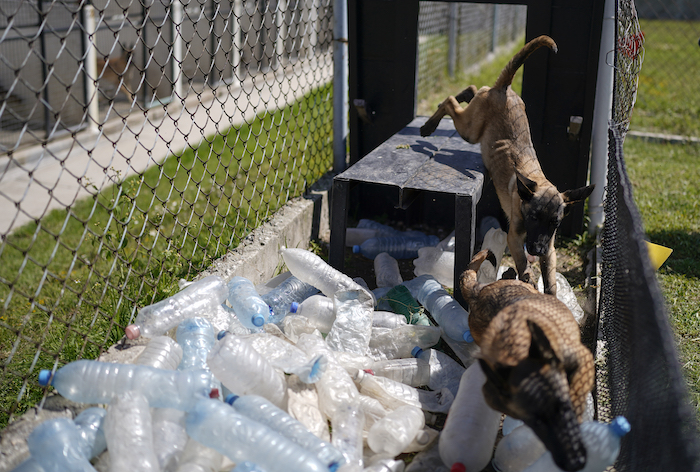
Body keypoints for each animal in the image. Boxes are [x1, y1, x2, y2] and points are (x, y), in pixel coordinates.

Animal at [418, 36, 592, 296]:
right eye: (534, 217)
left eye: (555, 223)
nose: (537, 250)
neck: (536, 182)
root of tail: (505, 89)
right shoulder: (515, 238)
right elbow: (522, 263)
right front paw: (528, 280)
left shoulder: (550, 246)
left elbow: (550, 279)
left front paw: (551, 296)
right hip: (470, 130)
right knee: (451, 102)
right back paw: (428, 126)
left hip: (476, 118)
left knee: (474, 90)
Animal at [462, 249, 592, 470]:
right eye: (535, 422)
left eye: (562, 409)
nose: (575, 462)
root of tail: (478, 292)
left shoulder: (582, 359)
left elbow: (576, 394)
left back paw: (510, 273)